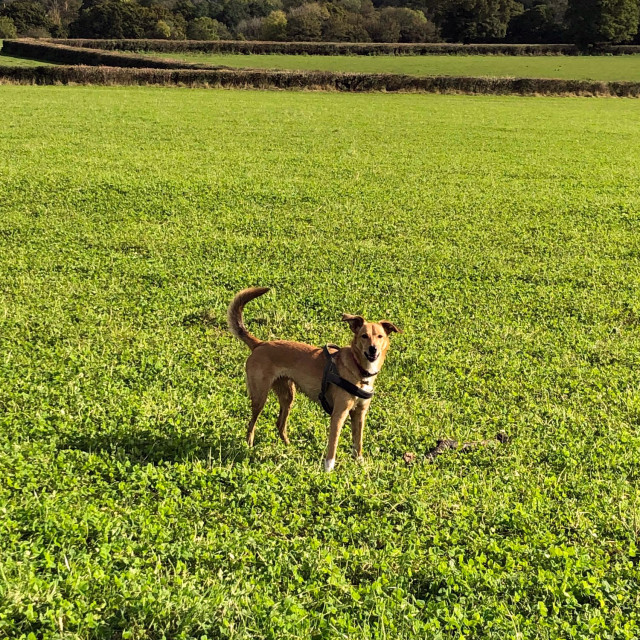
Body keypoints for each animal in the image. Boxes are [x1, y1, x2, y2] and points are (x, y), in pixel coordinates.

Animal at [229, 288, 400, 472]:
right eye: (364, 336)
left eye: (380, 336)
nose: (373, 349)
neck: (359, 369)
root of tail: (260, 344)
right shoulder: (339, 414)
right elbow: (333, 446)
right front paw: (328, 470)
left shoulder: (360, 413)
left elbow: (358, 441)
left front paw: (359, 462)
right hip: (260, 397)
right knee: (251, 424)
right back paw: (249, 445)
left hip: (288, 396)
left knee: (280, 424)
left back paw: (289, 447)